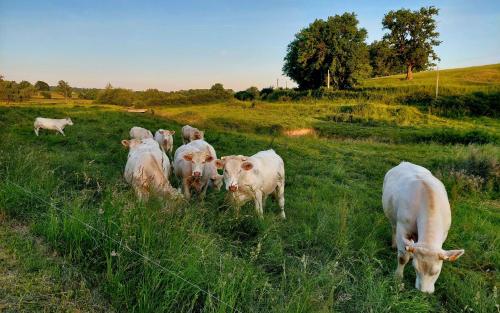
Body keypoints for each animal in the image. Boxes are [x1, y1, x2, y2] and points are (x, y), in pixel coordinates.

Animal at [382, 161, 464, 292]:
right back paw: (394, 244)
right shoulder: (403, 228)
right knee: (393, 227)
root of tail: (404, 162)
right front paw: (397, 278)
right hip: (392, 217)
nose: (423, 291)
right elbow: (402, 258)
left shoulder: (444, 234)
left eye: (436, 272)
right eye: (415, 268)